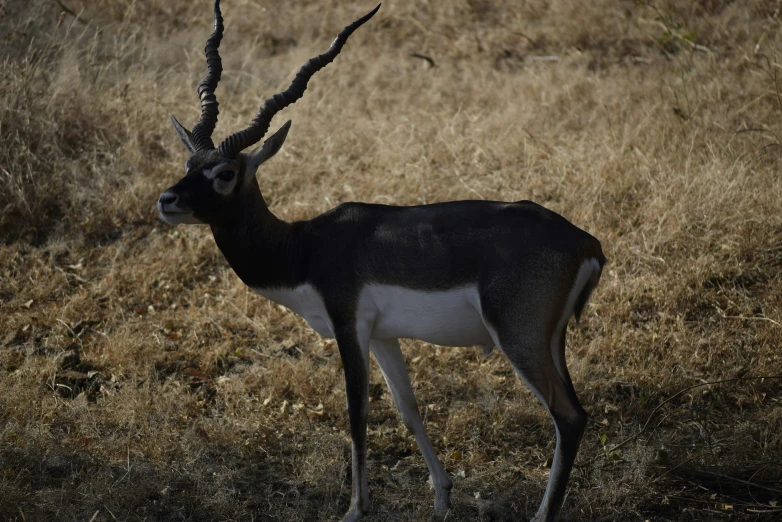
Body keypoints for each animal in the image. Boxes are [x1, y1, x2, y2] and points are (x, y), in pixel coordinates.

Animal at [158, 2, 608, 516]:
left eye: (226, 173)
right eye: (190, 165)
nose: (167, 200)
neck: (304, 248)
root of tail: (585, 243)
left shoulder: (348, 323)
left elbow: (357, 411)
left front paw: (355, 509)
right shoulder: (383, 335)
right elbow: (407, 407)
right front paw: (442, 499)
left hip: (520, 339)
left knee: (569, 417)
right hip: (551, 341)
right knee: (573, 411)